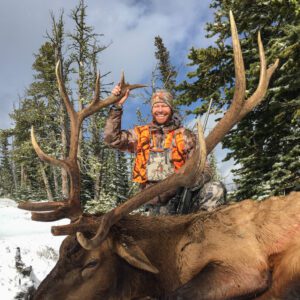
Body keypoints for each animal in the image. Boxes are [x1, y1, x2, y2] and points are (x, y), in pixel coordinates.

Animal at [18, 11, 300, 300]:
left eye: (92, 262)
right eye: (61, 253)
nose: (34, 297)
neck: (167, 262)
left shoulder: (242, 262)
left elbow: (176, 294)